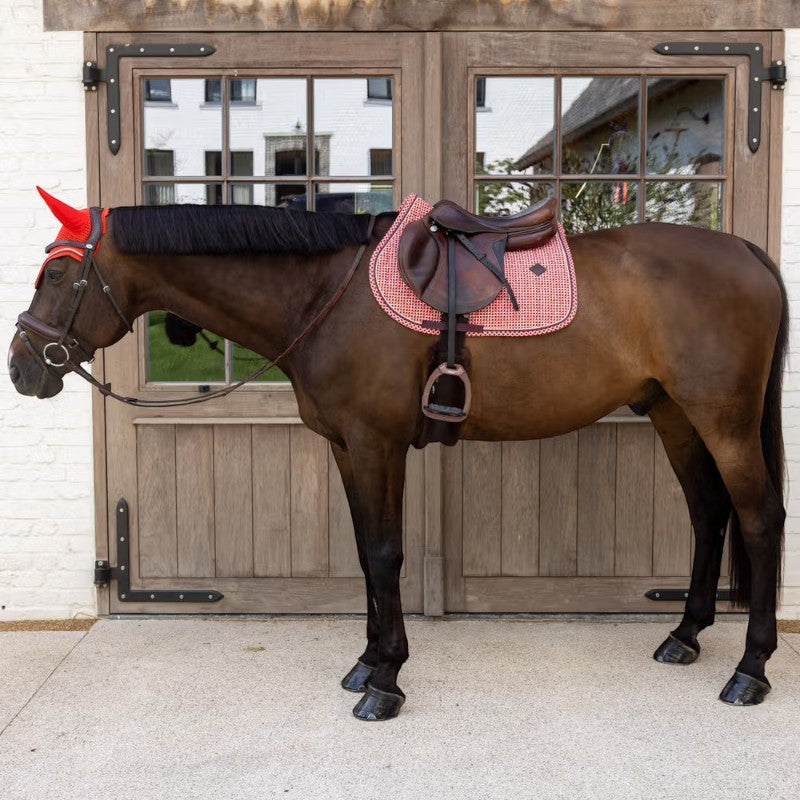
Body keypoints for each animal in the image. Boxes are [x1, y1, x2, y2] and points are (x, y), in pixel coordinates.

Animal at [8, 189, 787, 720]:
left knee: (760, 521)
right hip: (674, 414)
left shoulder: (376, 442)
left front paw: (384, 682)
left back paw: (750, 670)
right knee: (708, 514)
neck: (325, 294)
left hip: (722, 419)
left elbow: (386, 555)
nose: (22, 368)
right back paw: (685, 635)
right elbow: (365, 553)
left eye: (58, 276)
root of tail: (748, 252)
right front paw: (366, 661)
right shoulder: (347, 447)